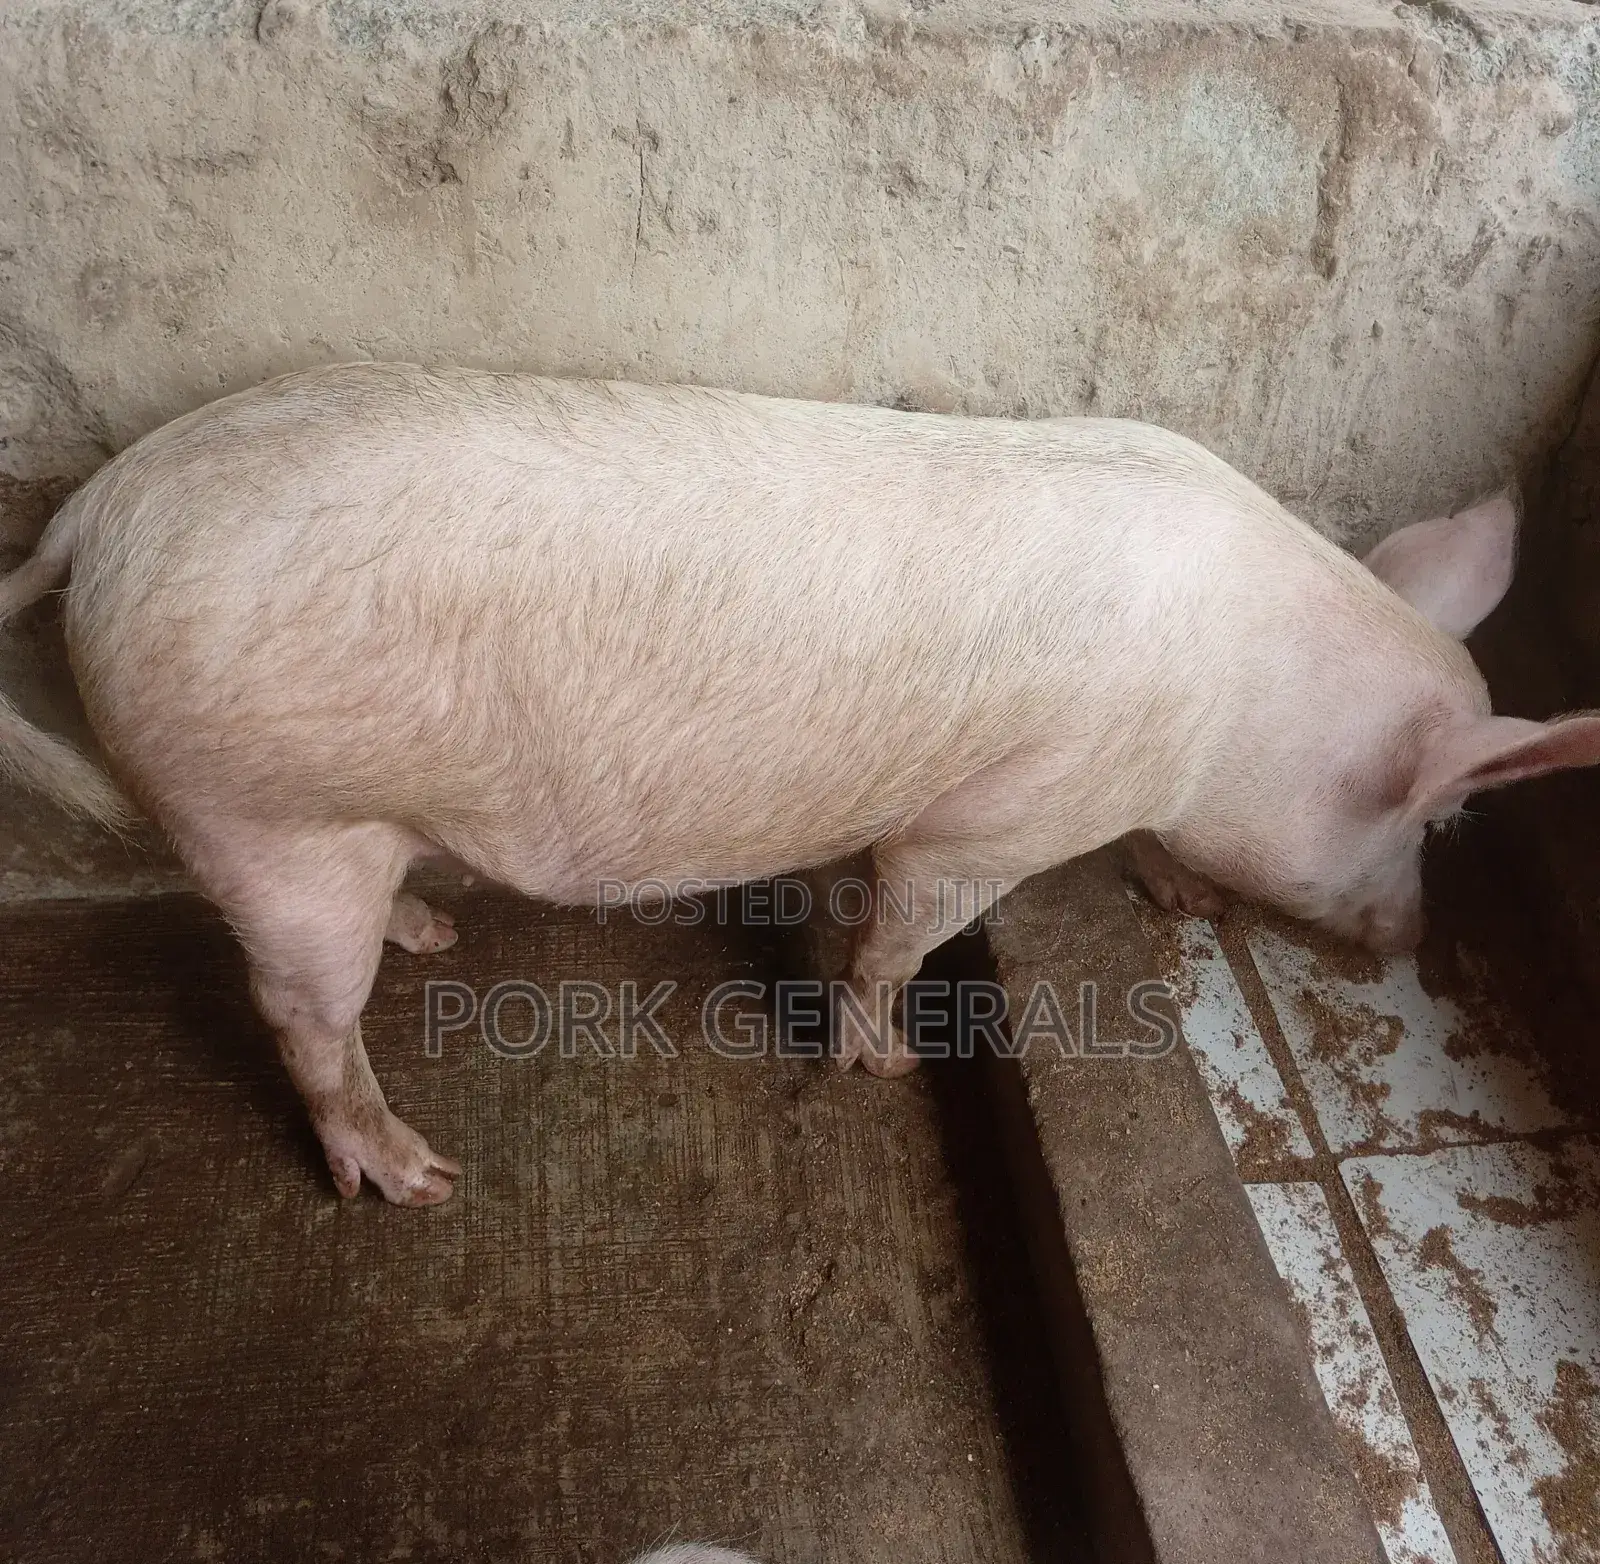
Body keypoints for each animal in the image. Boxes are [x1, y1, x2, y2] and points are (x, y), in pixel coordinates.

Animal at [2, 362, 1597, 1206]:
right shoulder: (994, 821)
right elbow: (901, 928)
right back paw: (419, 1177)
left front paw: (1181, 895)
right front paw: (882, 1068)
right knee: (296, 1015)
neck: (1244, 701)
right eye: (1442, 815)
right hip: (258, 811)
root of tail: (103, 513)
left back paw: (433, 935)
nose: (1411, 941)